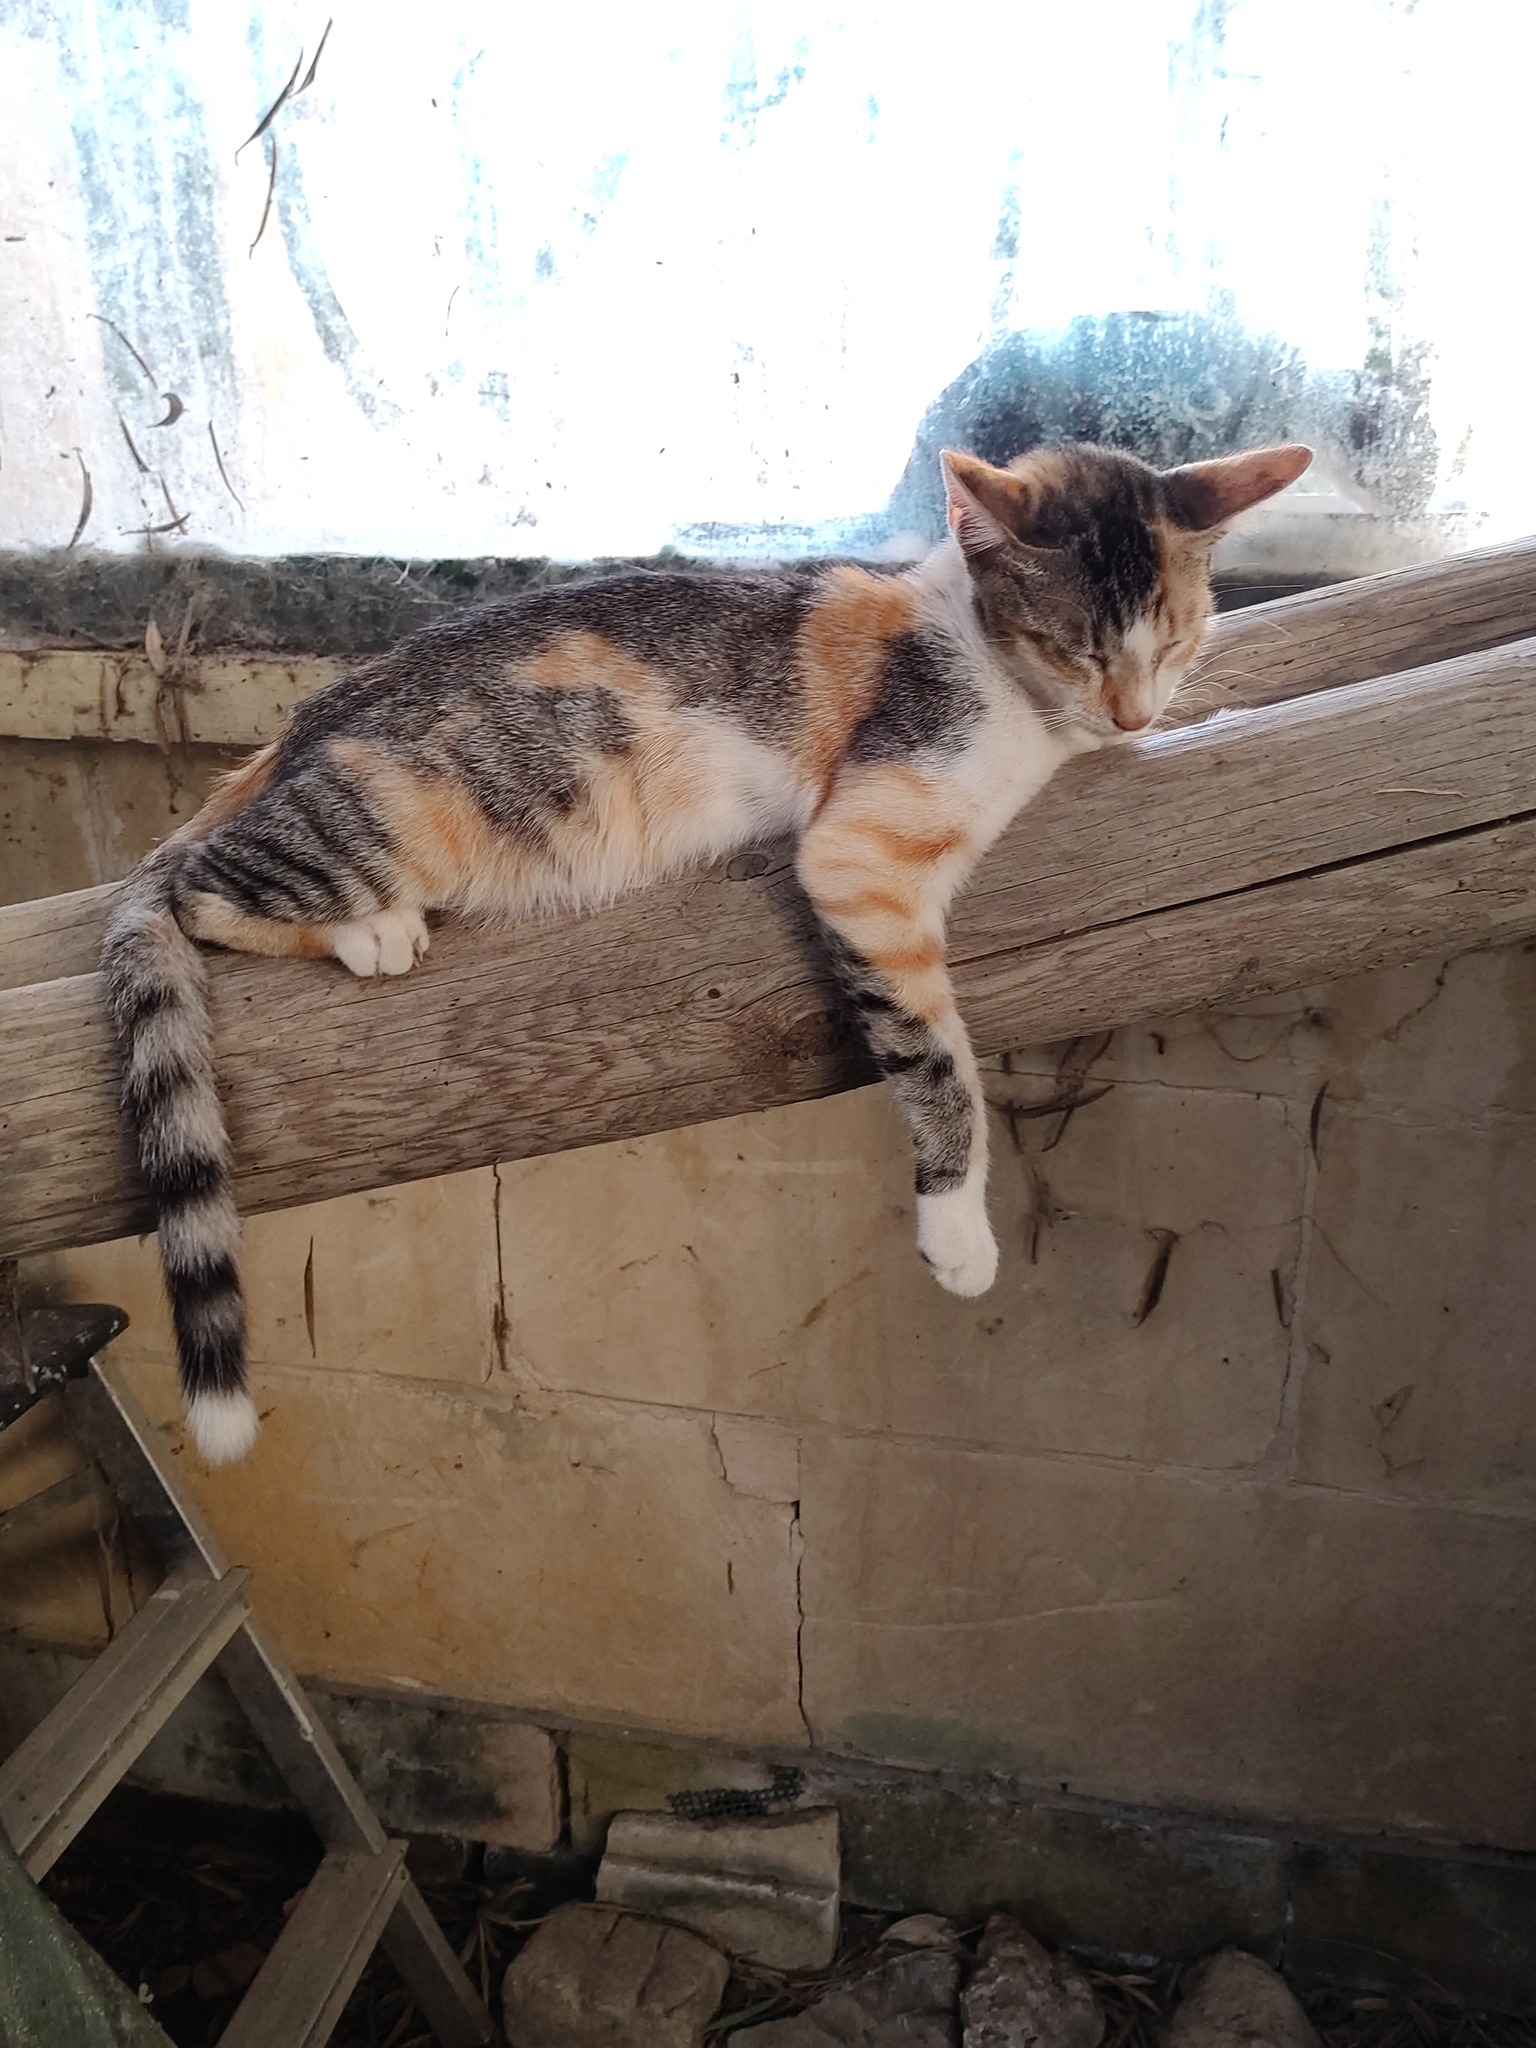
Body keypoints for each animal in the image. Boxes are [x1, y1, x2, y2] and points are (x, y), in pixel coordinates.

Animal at [101, 439, 1311, 1465]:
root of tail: (290, 736)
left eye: (1177, 638)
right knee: (200, 881)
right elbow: (938, 1060)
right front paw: (958, 1227)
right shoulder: (863, 852)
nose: (1132, 713)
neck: (972, 645)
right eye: (1072, 646)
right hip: (399, 814)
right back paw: (363, 924)